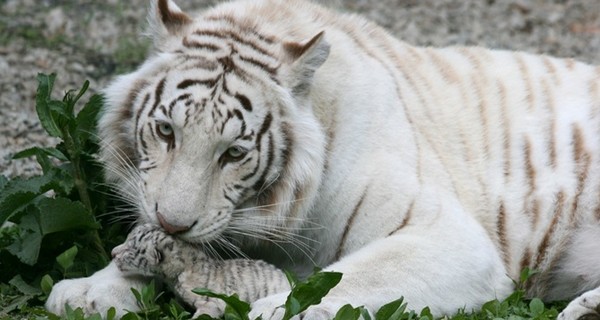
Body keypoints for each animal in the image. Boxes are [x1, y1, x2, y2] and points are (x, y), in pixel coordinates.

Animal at [47, 0, 600, 318]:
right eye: (166, 131)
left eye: (234, 153)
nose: (174, 224)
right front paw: (87, 292)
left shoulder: (446, 237)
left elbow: (348, 279)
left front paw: (268, 309)